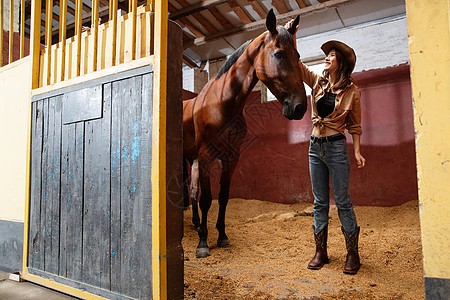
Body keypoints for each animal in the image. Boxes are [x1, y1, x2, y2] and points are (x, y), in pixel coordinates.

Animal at [183, 9, 306, 258]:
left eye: (297, 54)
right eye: (279, 54)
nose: (300, 107)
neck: (222, 103)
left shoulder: (231, 157)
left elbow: (222, 197)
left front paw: (221, 236)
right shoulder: (206, 156)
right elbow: (206, 199)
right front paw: (203, 244)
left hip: (193, 159)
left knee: (192, 191)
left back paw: (196, 224)